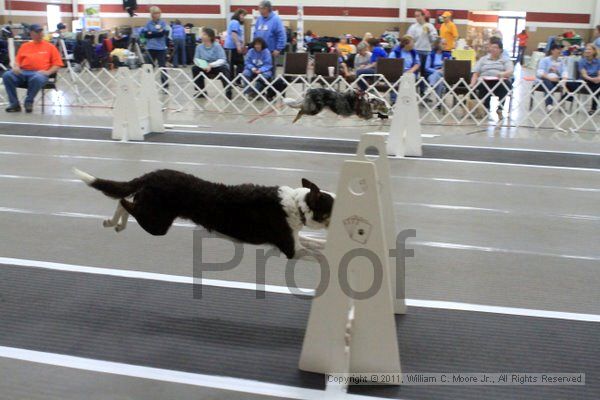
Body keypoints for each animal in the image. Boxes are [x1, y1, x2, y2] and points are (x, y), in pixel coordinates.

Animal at [73, 168, 336, 260]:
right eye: (334, 205)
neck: (297, 204)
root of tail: (151, 174)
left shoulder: (295, 238)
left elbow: (316, 242)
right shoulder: (291, 249)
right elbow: (316, 252)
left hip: (153, 216)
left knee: (126, 200)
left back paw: (115, 223)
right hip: (157, 224)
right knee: (123, 201)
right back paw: (114, 222)